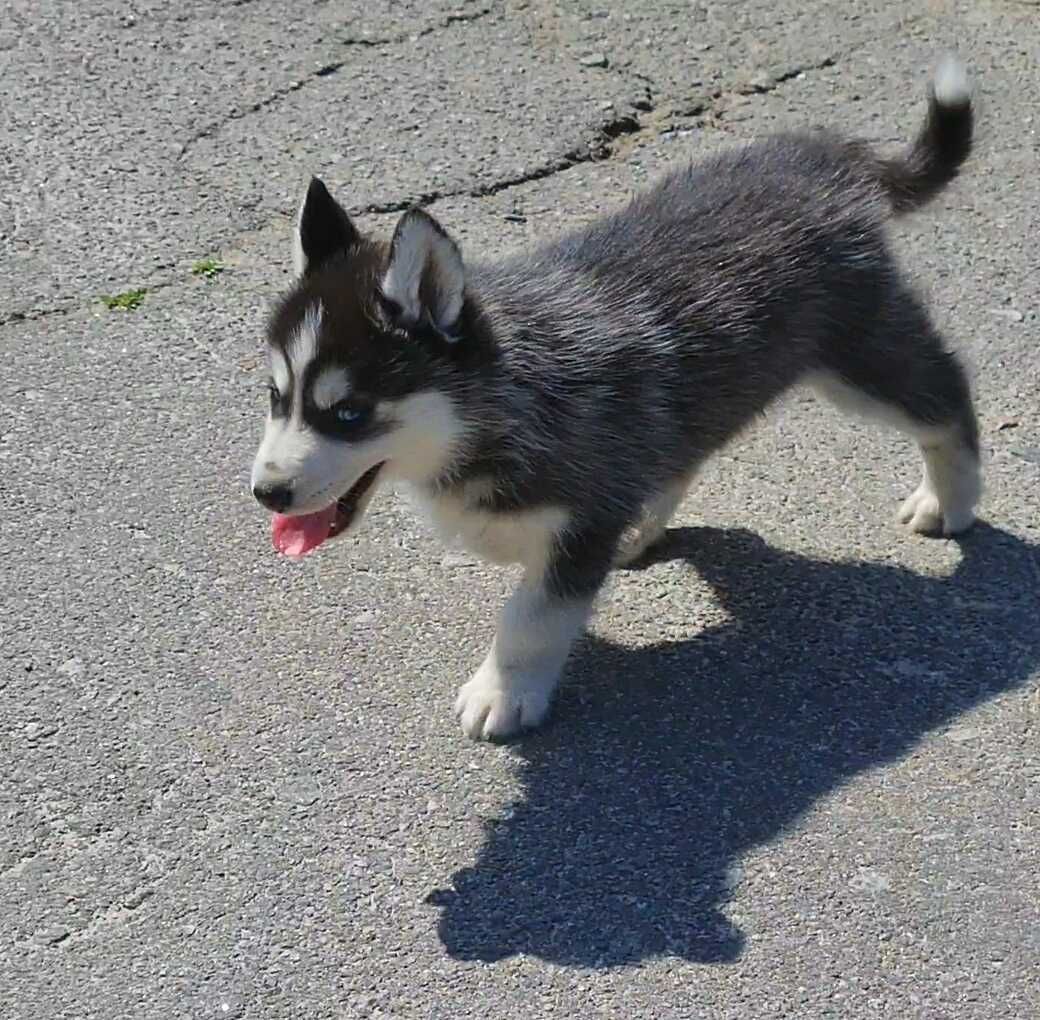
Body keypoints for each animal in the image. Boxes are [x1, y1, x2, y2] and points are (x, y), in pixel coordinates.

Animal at [253, 57, 981, 740]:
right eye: (276, 396)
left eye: (349, 412)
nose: (266, 494)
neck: (499, 407)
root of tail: (824, 154)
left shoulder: (581, 523)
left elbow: (530, 617)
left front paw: (504, 692)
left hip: (858, 352)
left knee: (945, 397)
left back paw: (949, 498)